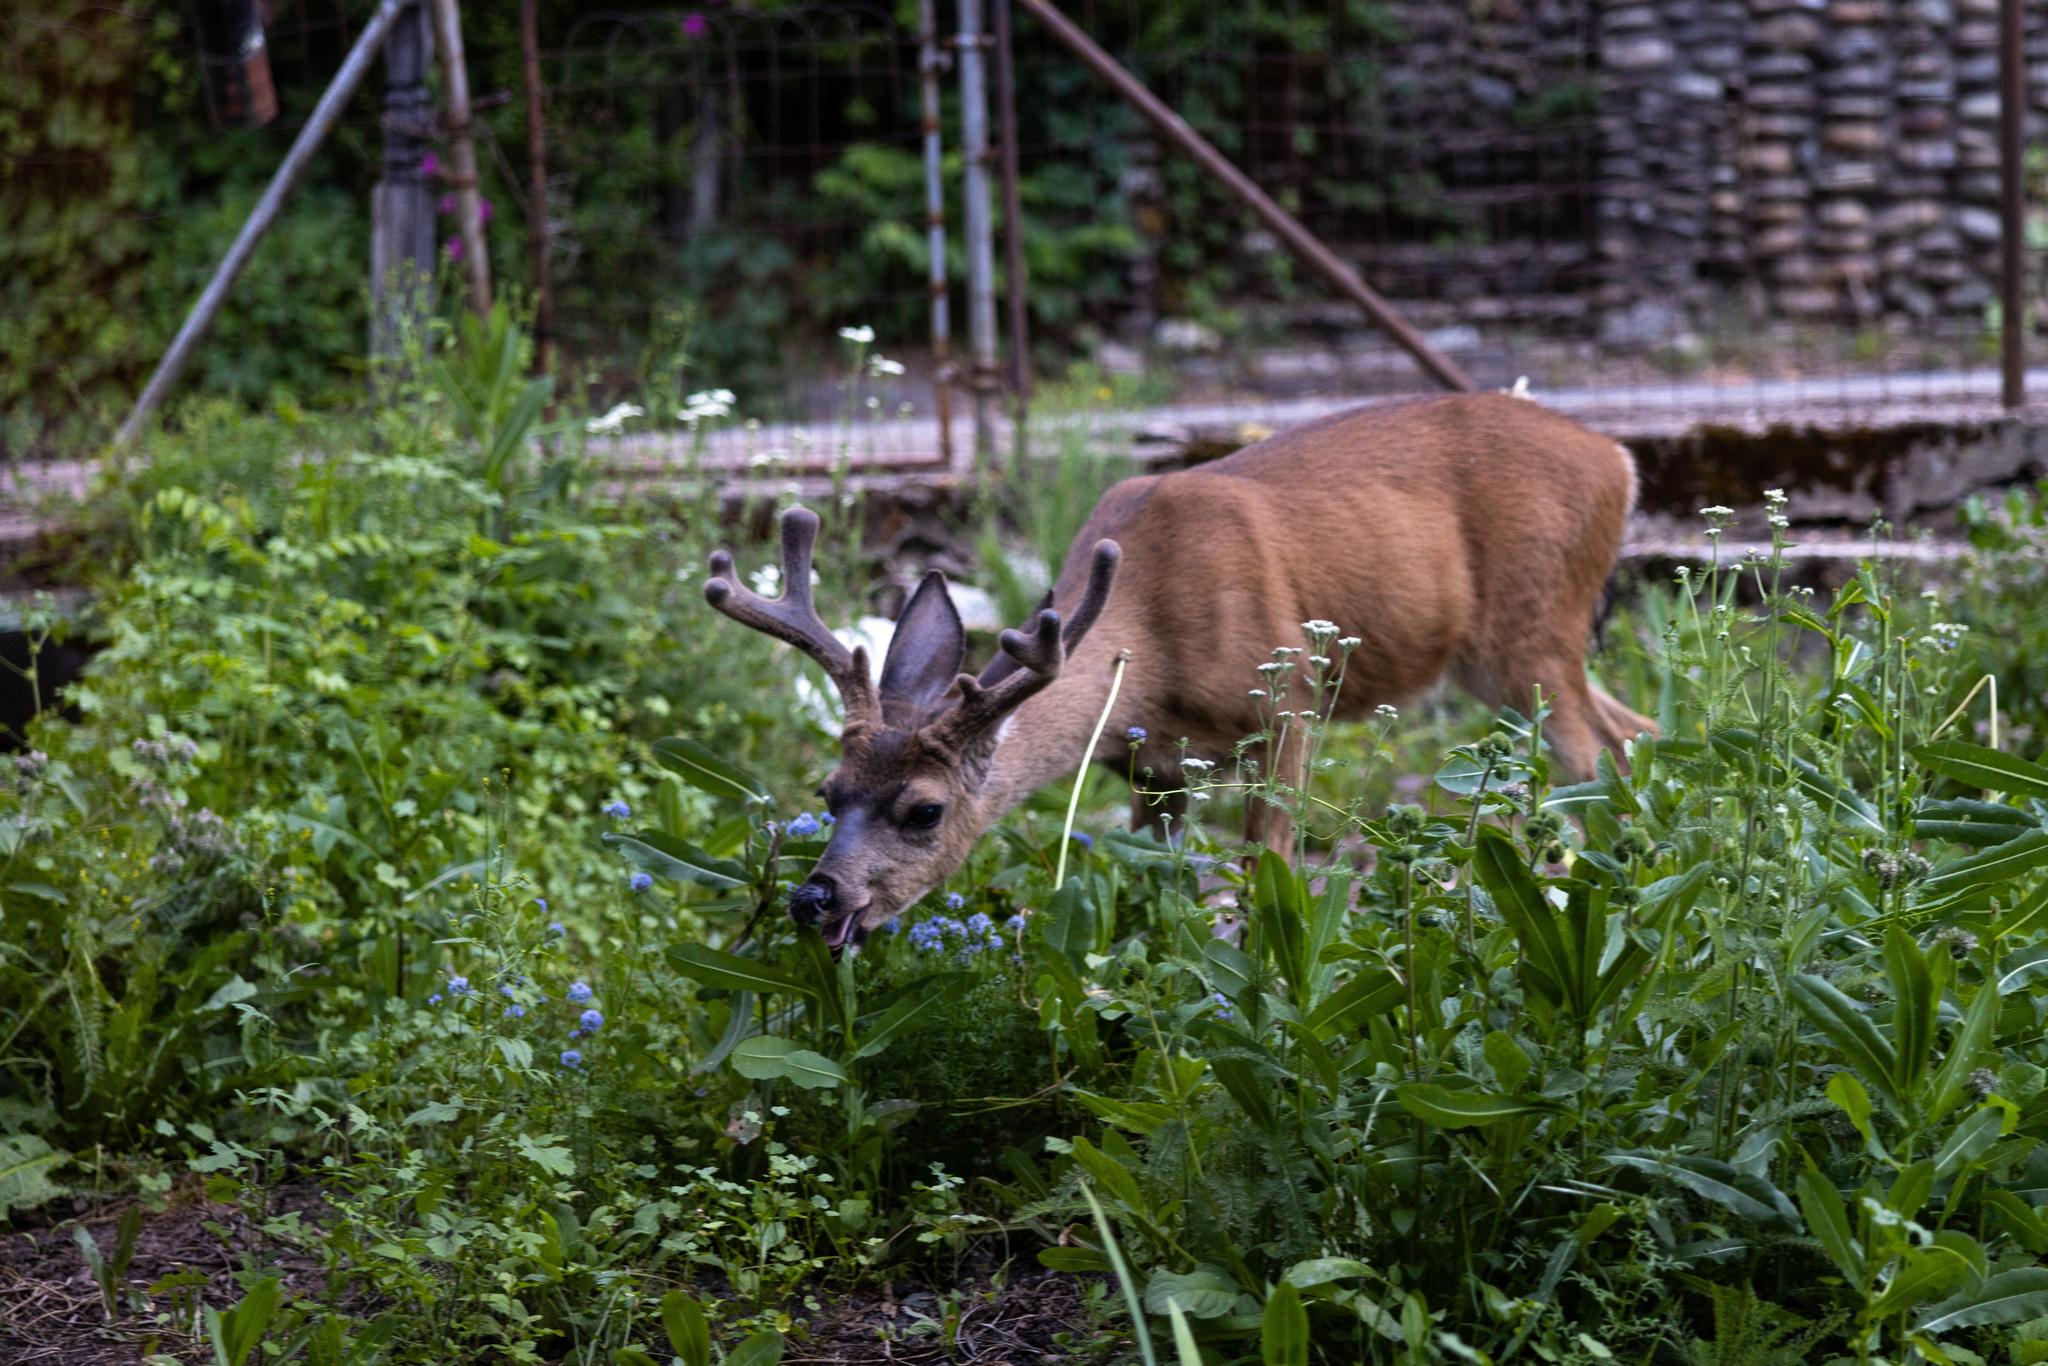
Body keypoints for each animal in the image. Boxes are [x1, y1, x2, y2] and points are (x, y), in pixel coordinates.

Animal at [705, 392, 1653, 953]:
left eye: (925, 810)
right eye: (828, 792)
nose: (815, 901)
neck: (1149, 643)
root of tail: (1621, 460)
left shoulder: (1289, 705)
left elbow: (1262, 872)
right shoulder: (1152, 765)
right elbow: (1155, 884)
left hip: (1532, 630)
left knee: (1597, 755)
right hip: (1506, 657)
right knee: (1635, 730)